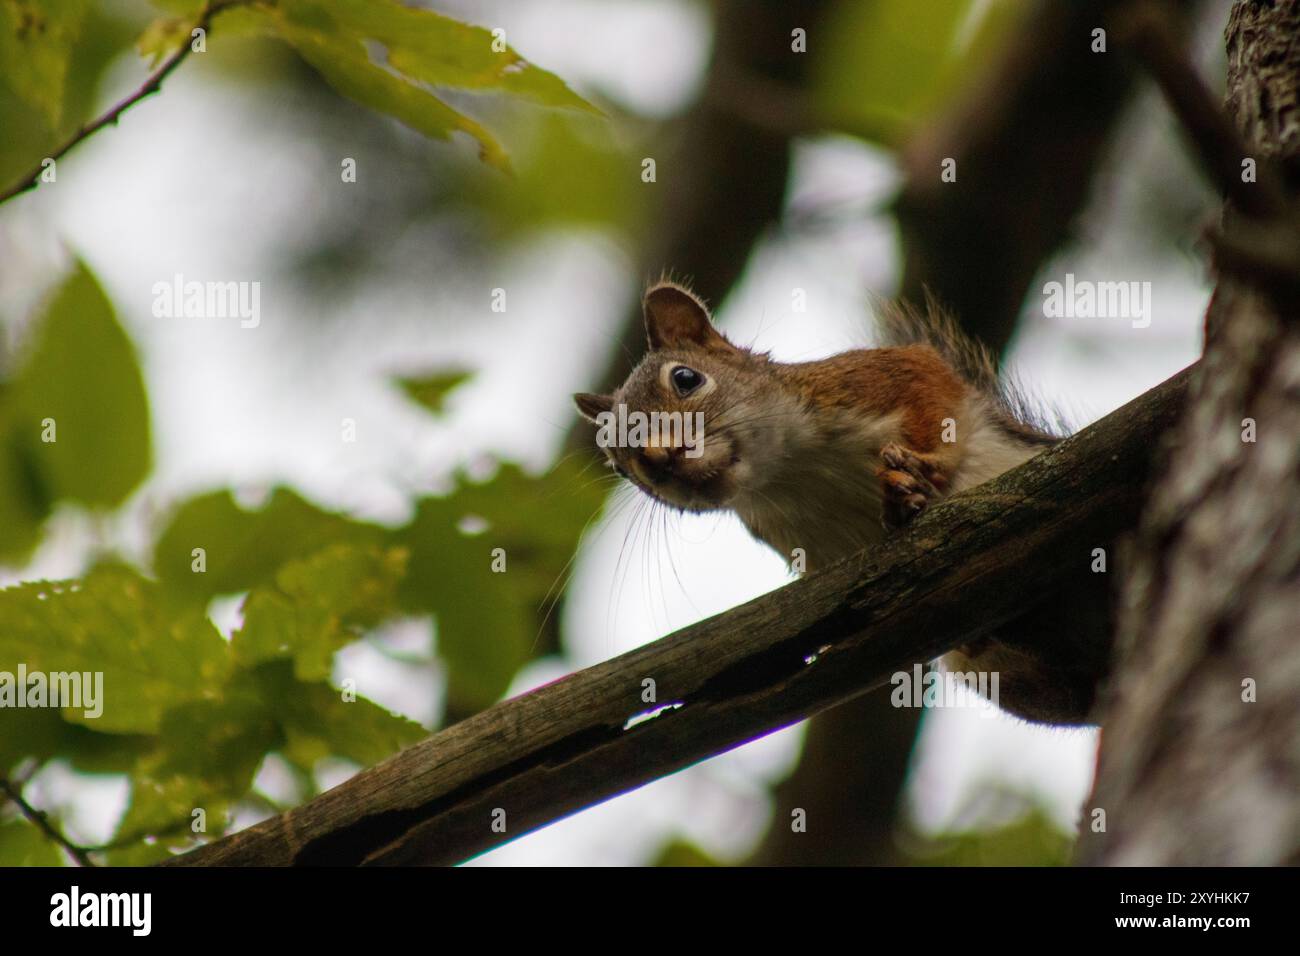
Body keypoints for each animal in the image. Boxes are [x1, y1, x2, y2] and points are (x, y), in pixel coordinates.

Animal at [574, 281, 1104, 725]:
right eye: (619, 466)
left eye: (686, 378)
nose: (659, 459)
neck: (787, 474)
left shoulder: (879, 376)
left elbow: (935, 400)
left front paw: (924, 468)